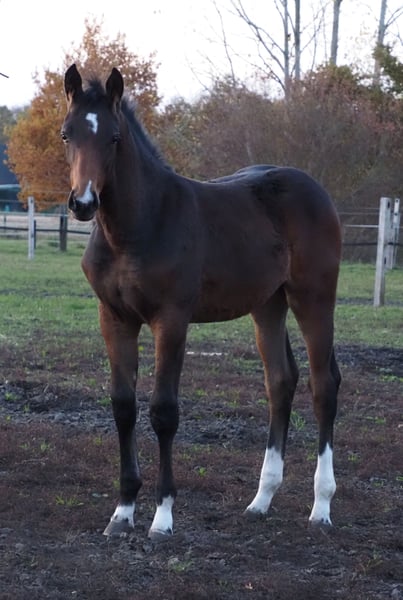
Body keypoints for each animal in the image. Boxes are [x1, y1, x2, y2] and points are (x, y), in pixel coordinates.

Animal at [61, 64, 341, 539]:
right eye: (67, 134)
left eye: (114, 137)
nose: (83, 203)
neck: (139, 226)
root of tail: (315, 189)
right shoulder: (114, 318)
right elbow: (122, 406)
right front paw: (122, 511)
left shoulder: (171, 320)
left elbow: (163, 411)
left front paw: (162, 516)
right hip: (268, 304)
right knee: (280, 381)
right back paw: (261, 500)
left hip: (314, 299)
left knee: (324, 385)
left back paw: (321, 507)